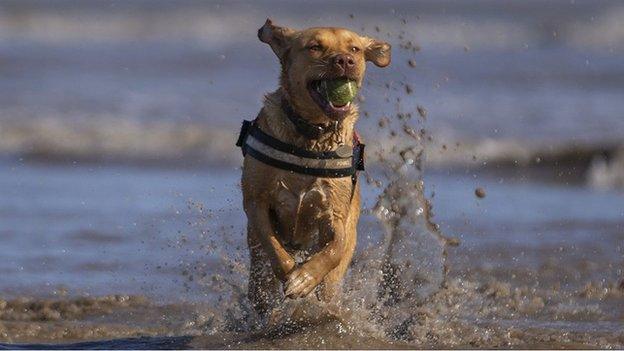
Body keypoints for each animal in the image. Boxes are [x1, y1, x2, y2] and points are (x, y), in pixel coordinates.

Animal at [238, 17, 390, 318]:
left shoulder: (336, 213)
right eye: (315, 47)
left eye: (354, 49)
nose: (344, 60)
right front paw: (293, 276)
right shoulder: (256, 201)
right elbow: (273, 245)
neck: (312, 134)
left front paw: (306, 277)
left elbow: (335, 247)